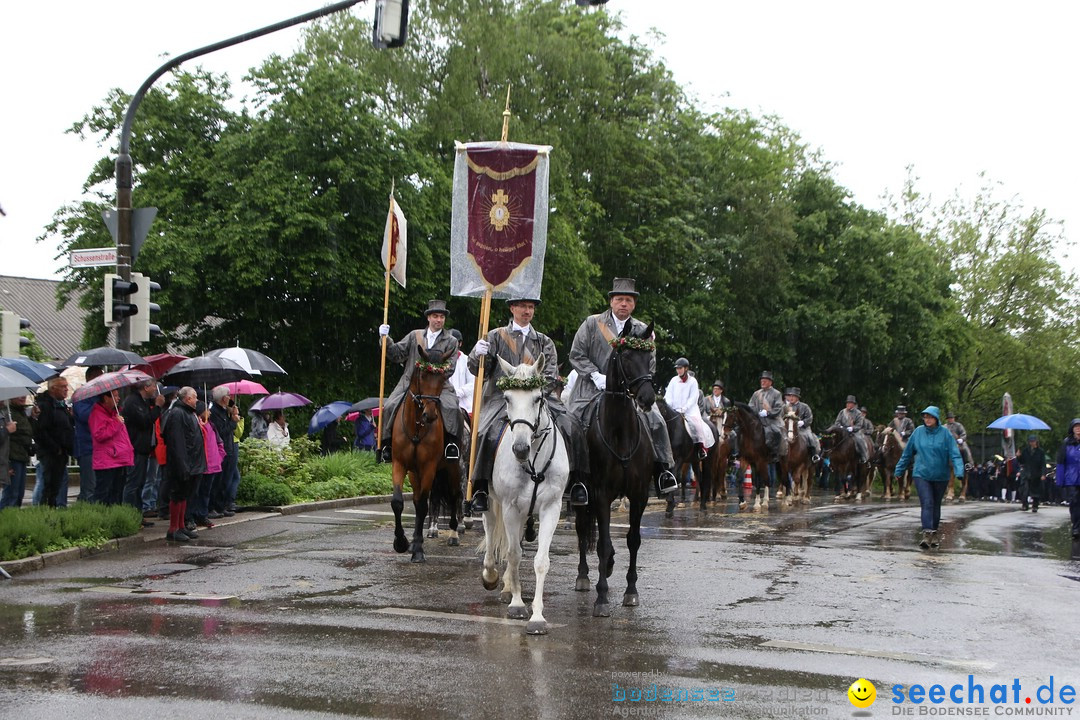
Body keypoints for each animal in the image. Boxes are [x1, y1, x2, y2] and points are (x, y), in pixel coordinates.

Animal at [390, 347, 462, 561]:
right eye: (423, 375)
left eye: (443, 377)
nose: (429, 415)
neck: (416, 427)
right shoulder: (399, 464)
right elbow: (398, 503)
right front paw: (402, 543)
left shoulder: (429, 467)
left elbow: (422, 505)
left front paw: (418, 550)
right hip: (415, 473)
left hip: (452, 468)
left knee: (455, 495)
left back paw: (453, 533)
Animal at [479, 354, 570, 634]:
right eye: (508, 398)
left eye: (538, 398)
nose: (520, 448)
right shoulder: (510, 507)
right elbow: (514, 554)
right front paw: (518, 605)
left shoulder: (551, 508)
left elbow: (540, 561)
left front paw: (537, 617)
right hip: (493, 503)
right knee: (492, 531)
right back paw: (492, 577)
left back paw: (508, 586)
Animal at [574, 321, 656, 621]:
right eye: (627, 357)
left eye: (649, 356)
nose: (647, 397)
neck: (620, 432)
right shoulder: (600, 494)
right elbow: (604, 543)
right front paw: (601, 597)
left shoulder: (639, 495)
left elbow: (633, 540)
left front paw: (631, 591)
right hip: (579, 495)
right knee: (582, 530)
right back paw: (583, 576)